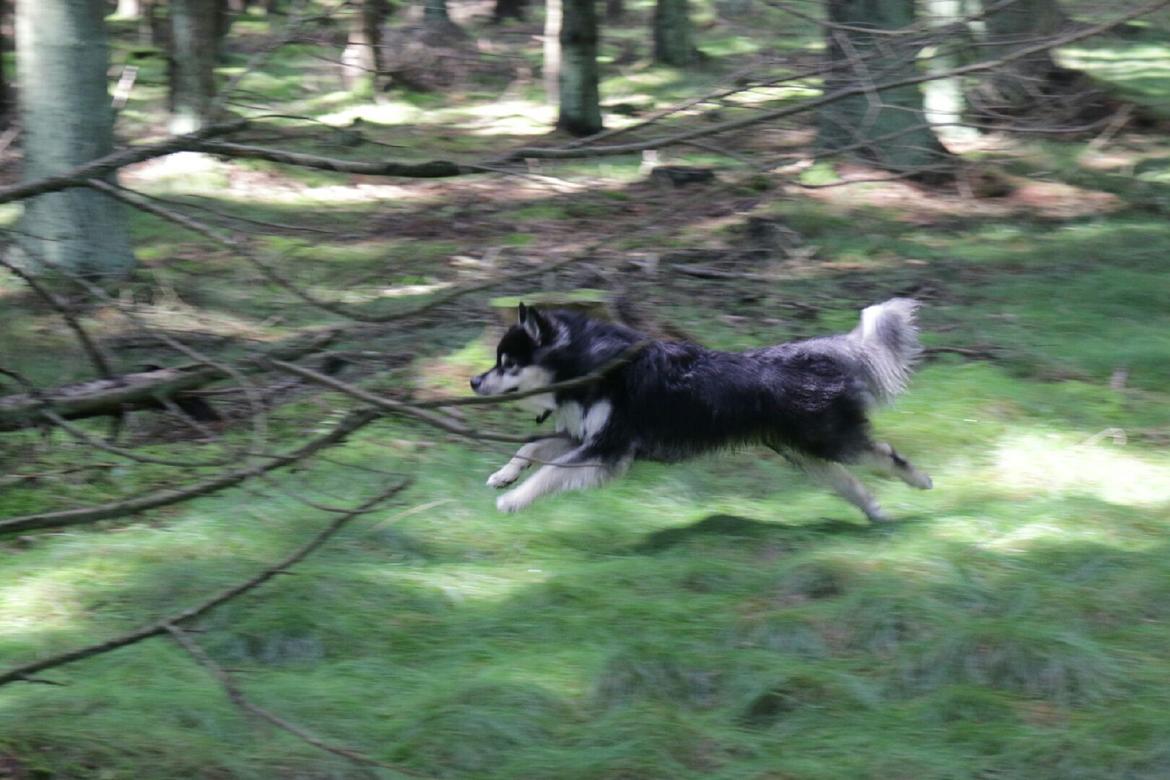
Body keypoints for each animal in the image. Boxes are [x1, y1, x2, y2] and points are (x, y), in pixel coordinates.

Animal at [467, 301, 931, 521]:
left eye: (507, 364)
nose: (473, 382)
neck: (594, 365)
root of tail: (821, 352)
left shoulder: (608, 447)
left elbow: (549, 471)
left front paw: (514, 500)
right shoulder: (585, 435)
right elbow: (533, 446)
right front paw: (504, 475)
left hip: (828, 441)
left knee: (884, 454)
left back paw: (920, 480)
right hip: (807, 455)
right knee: (852, 483)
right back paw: (876, 513)